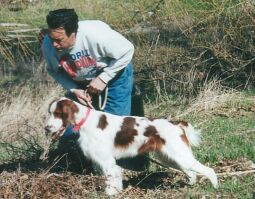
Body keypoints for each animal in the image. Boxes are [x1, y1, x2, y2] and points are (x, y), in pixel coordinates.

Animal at [44, 97, 218, 195]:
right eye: (50, 113)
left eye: (58, 114)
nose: (46, 128)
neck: (86, 122)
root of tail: (177, 123)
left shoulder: (107, 162)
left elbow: (111, 181)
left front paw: (110, 194)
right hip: (170, 158)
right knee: (192, 173)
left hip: (180, 156)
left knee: (209, 170)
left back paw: (215, 187)